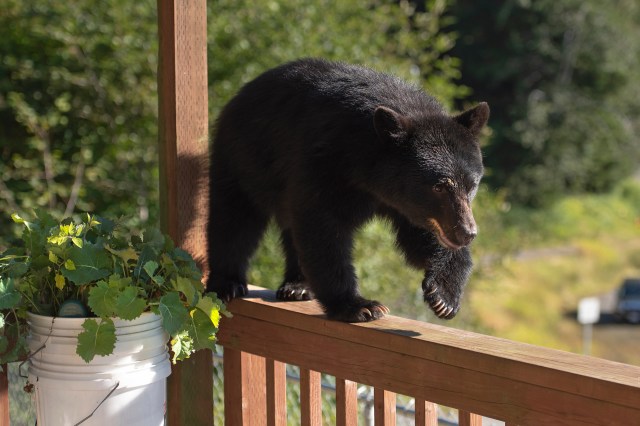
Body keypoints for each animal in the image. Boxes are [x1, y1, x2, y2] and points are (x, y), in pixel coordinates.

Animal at [206, 58, 488, 323]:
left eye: (472, 184)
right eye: (439, 186)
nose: (467, 233)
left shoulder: (404, 201)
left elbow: (419, 235)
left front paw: (444, 295)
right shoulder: (325, 162)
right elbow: (323, 229)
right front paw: (360, 306)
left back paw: (297, 285)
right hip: (241, 158)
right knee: (233, 219)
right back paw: (227, 283)